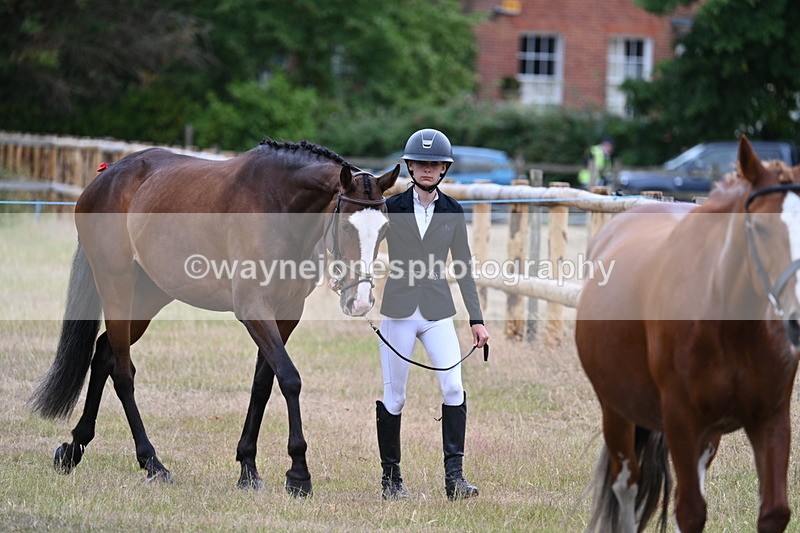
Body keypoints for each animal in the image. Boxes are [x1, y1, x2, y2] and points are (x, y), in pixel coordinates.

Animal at [28, 139, 400, 496]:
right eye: (347, 228)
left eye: (385, 231)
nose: (361, 301)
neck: (278, 207)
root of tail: (106, 176)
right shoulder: (253, 310)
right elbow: (290, 379)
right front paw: (298, 475)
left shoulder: (287, 314)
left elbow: (263, 384)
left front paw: (248, 468)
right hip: (115, 284)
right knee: (122, 373)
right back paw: (152, 463)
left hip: (150, 294)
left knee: (105, 353)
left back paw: (74, 449)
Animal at [576, 135, 800, 532]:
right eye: (758, 226)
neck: (730, 327)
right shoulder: (681, 420)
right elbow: (690, 511)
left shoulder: (771, 418)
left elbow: (773, 511)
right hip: (617, 413)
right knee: (627, 486)